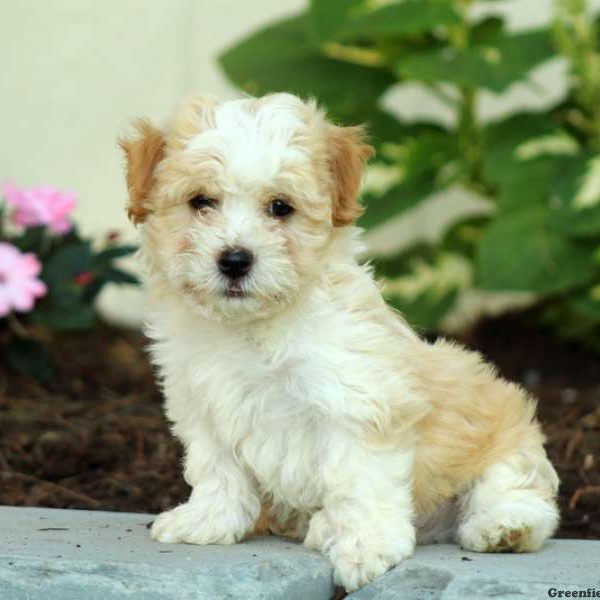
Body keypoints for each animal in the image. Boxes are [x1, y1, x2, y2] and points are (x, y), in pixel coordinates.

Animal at [119, 92, 560, 592]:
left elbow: (360, 478)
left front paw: (366, 546)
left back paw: (503, 526)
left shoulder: (358, 400)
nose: (234, 260)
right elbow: (217, 470)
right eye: (200, 201)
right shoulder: (203, 404)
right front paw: (208, 521)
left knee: (512, 488)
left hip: (504, 433)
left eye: (280, 207)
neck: (253, 326)